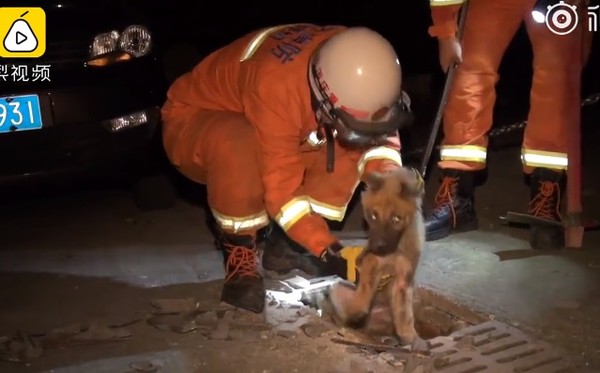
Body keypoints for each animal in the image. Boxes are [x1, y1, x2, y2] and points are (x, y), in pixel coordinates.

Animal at [328, 167, 426, 350]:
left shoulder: (404, 280)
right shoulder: (370, 266)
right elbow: (361, 299)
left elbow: (405, 317)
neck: (393, 252)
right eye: (373, 215)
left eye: (396, 219)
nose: (376, 247)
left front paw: (413, 339)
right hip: (336, 287)